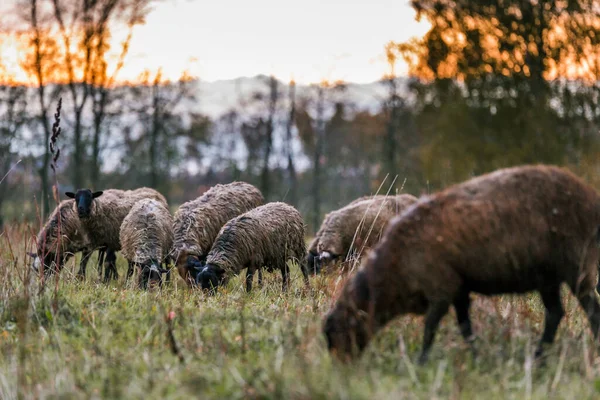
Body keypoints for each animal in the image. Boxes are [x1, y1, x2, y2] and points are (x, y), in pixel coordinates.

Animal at [324, 164, 600, 364]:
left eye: (341, 332)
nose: (343, 370)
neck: (393, 273)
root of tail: (591, 199)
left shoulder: (440, 288)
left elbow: (430, 328)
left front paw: (421, 362)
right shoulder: (458, 290)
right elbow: (466, 328)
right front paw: (476, 359)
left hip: (576, 265)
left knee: (590, 309)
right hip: (548, 277)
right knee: (556, 313)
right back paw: (539, 357)